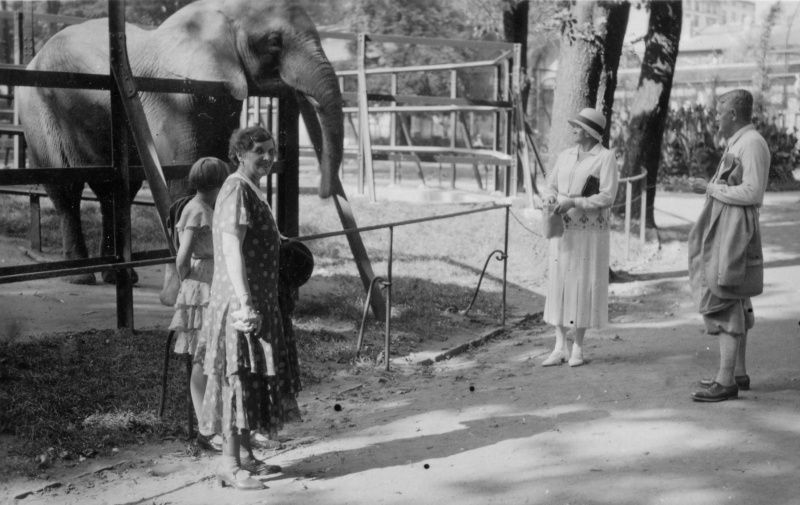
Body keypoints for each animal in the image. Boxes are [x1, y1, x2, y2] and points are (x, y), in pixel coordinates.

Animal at [18, 0, 344, 284]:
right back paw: (81, 278)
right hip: (39, 111)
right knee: (66, 188)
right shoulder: (167, 97)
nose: (325, 192)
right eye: (275, 41)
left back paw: (120, 277)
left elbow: (218, 164)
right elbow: (185, 169)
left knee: (116, 191)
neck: (219, 10)